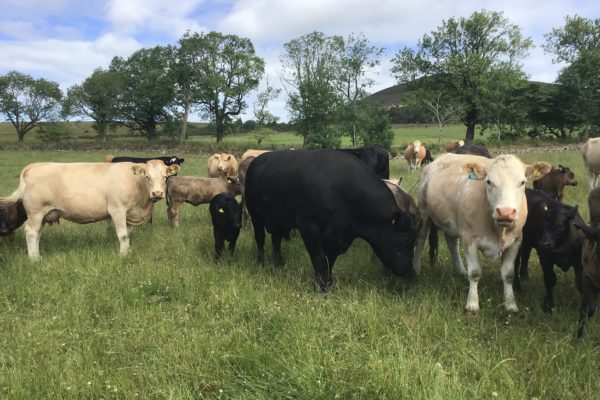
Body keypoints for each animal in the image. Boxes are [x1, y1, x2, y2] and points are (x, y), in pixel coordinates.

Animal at [0, 159, 179, 260]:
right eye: (147, 177)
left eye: (165, 177)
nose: (157, 193)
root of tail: (35, 166)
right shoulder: (117, 209)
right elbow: (122, 236)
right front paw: (122, 256)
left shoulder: (129, 213)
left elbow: (128, 235)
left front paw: (127, 253)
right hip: (35, 212)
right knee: (31, 233)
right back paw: (34, 259)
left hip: (44, 214)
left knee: (37, 234)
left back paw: (37, 255)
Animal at [244, 149, 418, 290]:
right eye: (406, 238)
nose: (410, 272)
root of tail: (258, 159)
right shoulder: (308, 228)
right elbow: (319, 260)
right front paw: (321, 289)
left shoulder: (335, 238)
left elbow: (329, 262)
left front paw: (328, 284)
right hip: (255, 215)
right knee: (260, 239)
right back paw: (261, 263)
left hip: (280, 219)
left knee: (276, 240)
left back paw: (278, 263)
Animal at [414, 153, 552, 312]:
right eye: (489, 182)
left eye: (522, 182)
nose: (505, 212)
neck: (498, 230)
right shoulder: (469, 239)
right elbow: (474, 273)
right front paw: (472, 304)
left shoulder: (516, 241)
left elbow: (508, 274)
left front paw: (510, 304)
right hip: (424, 211)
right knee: (421, 239)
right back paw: (416, 268)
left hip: (450, 221)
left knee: (451, 241)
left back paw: (460, 269)